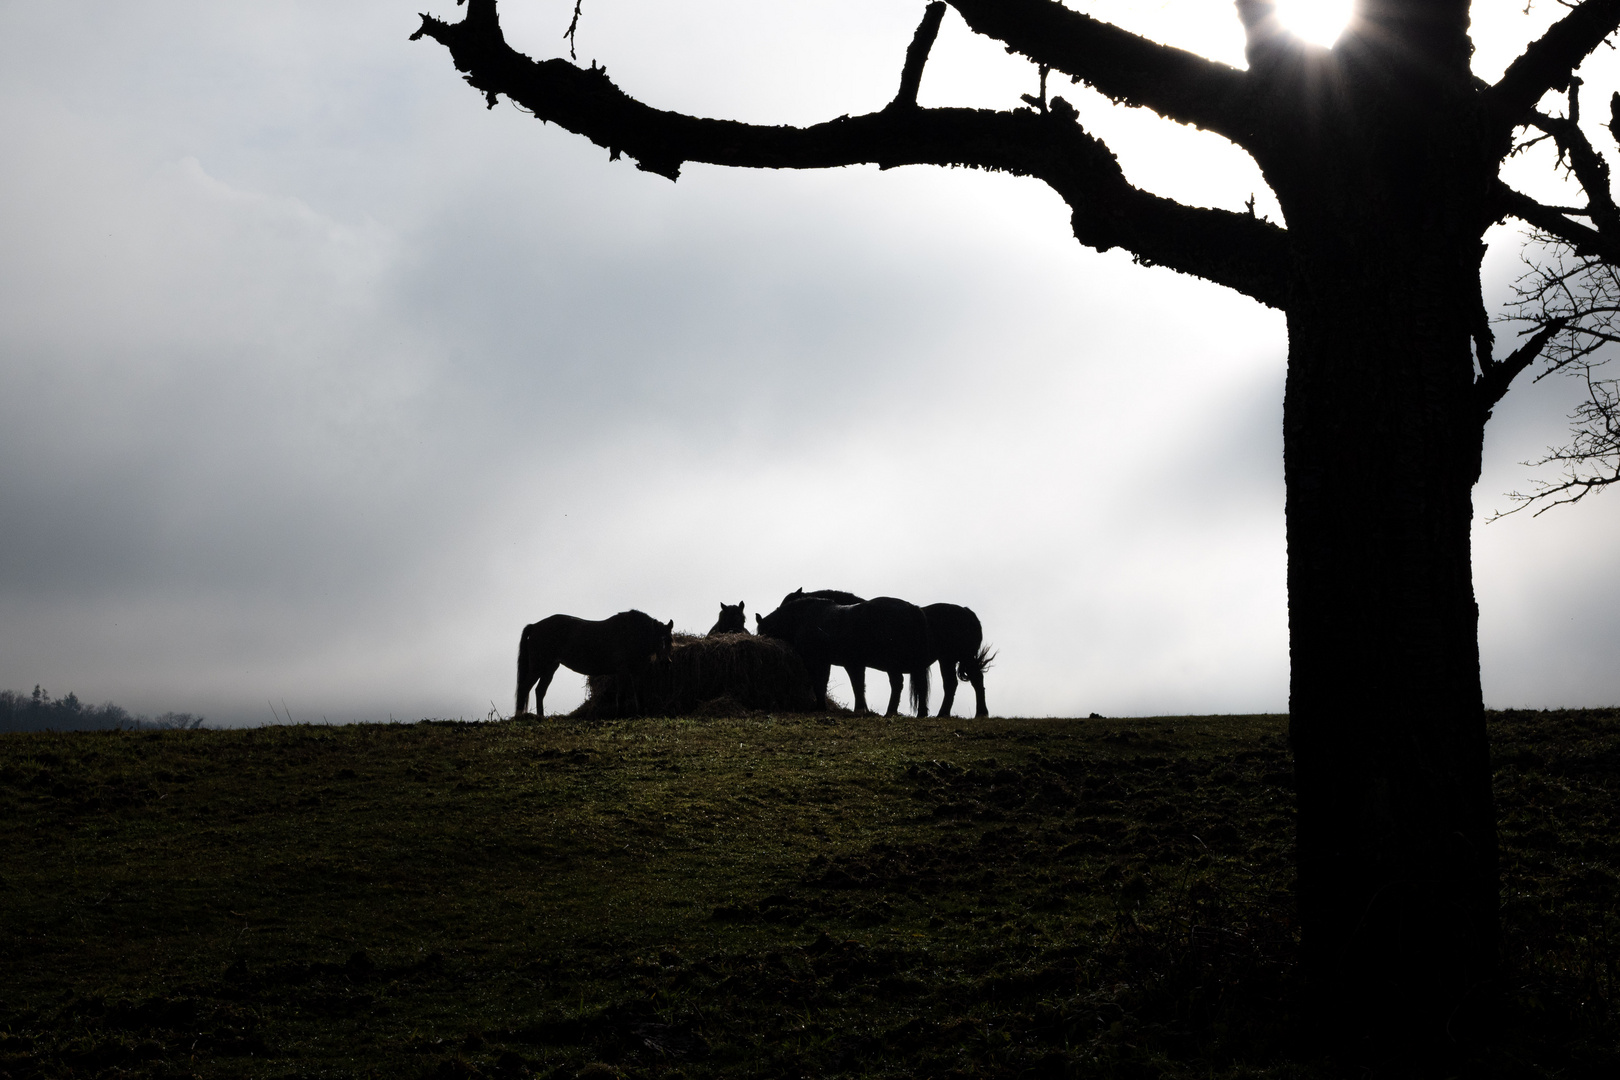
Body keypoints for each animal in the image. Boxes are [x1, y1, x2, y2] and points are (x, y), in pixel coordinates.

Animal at [515, 608, 673, 718]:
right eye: (659, 640)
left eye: (670, 640)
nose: (666, 662)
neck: (631, 633)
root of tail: (535, 626)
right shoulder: (622, 671)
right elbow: (621, 695)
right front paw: (619, 715)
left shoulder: (637, 672)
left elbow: (638, 693)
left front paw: (640, 714)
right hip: (538, 667)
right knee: (524, 688)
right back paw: (519, 716)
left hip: (550, 668)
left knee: (540, 691)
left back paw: (540, 717)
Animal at [754, 592, 933, 718]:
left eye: (762, 631)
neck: (805, 619)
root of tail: (912, 608)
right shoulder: (840, 663)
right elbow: (850, 685)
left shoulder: (817, 661)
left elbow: (821, 683)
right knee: (920, 686)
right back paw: (920, 713)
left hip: (893, 663)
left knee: (897, 684)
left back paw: (891, 712)